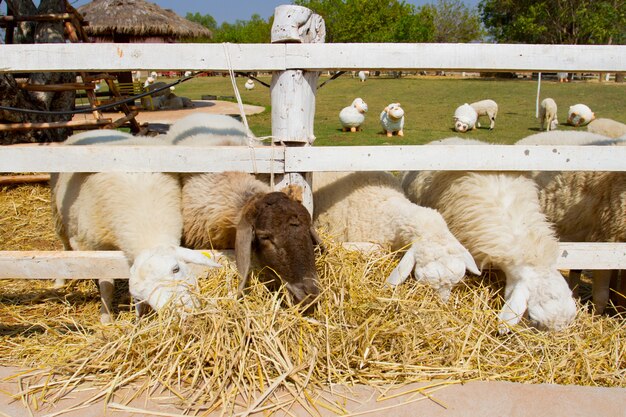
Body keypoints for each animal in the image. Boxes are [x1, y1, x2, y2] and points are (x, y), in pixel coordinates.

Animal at [51, 130, 222, 322]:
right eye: (142, 296)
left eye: (175, 269)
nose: (181, 315)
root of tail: (93, 132)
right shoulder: (92, 247)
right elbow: (106, 284)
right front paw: (106, 318)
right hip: (59, 211)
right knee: (64, 246)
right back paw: (59, 282)